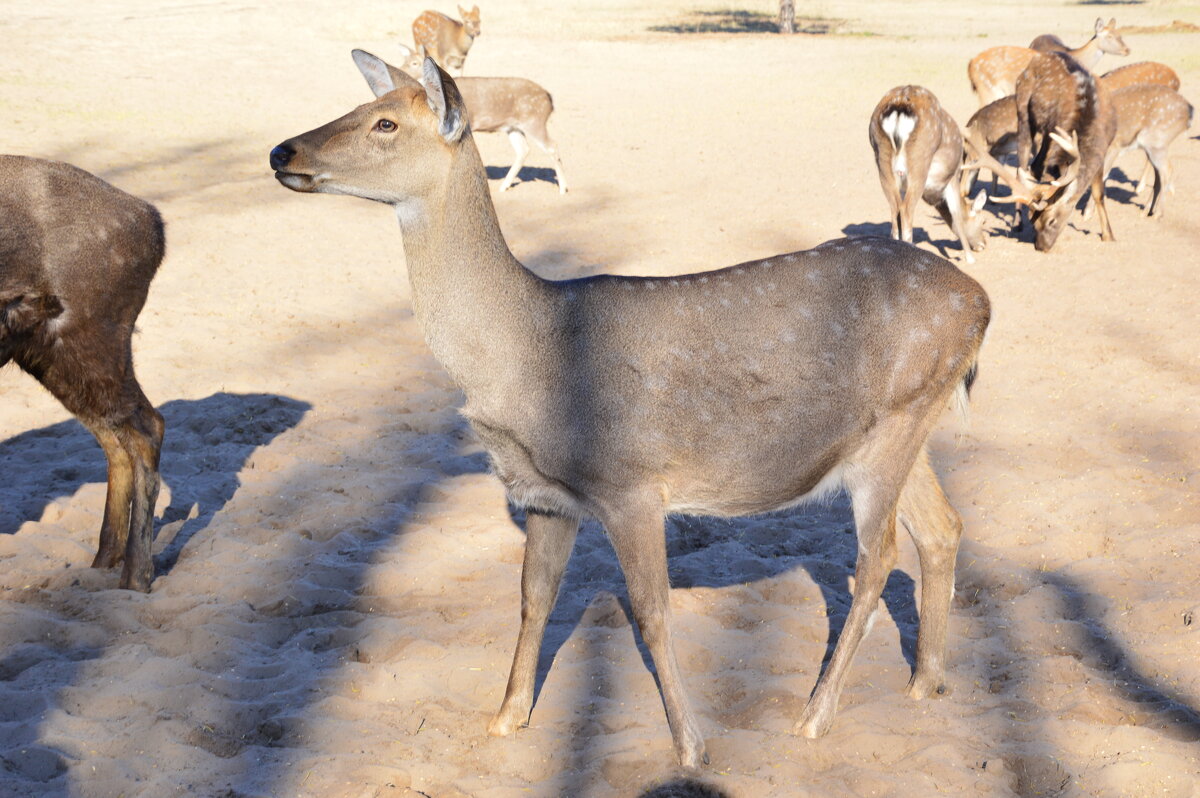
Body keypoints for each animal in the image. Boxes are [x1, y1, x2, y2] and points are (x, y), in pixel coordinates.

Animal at [1, 156, 165, 590]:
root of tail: (153, 222)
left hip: (90, 342)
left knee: (146, 428)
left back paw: (135, 576)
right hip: (50, 357)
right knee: (116, 438)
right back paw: (104, 560)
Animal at [393, 43, 561, 193]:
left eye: (415, 62)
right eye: (405, 60)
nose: (400, 69)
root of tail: (549, 98)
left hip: (534, 121)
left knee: (552, 146)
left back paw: (563, 188)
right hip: (513, 127)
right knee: (523, 150)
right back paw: (504, 186)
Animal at [868, 85, 988, 264]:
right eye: (983, 221)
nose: (983, 244)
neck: (935, 196)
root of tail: (900, 105)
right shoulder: (952, 177)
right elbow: (957, 216)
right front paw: (969, 258)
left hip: (882, 160)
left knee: (895, 209)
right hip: (920, 162)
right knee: (906, 210)